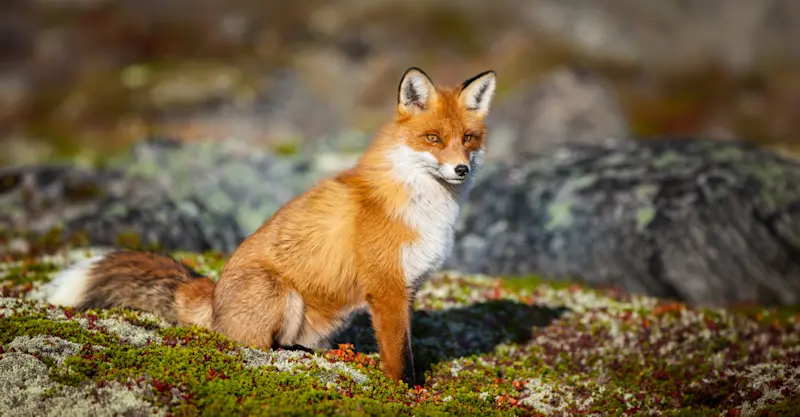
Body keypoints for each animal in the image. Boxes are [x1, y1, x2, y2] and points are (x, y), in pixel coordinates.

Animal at [44, 67, 497, 386]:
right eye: (433, 138)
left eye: (468, 139)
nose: (461, 169)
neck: (422, 205)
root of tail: (213, 298)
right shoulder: (385, 287)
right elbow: (399, 356)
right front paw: (409, 392)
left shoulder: (409, 285)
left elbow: (407, 347)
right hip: (280, 293)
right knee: (259, 347)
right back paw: (293, 354)